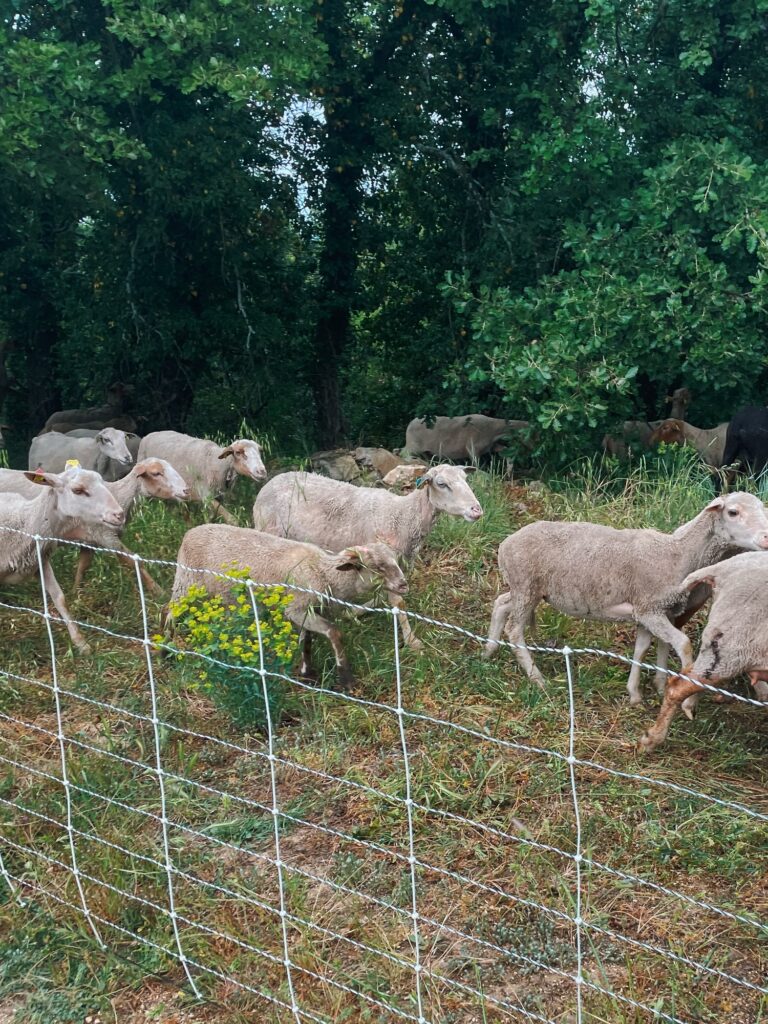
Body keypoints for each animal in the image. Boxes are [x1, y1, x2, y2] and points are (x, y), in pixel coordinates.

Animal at [0, 466, 124, 651]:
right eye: (78, 490)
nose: (119, 515)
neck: (24, 523)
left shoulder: (41, 562)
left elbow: (60, 598)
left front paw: (81, 642)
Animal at [137, 431, 266, 523]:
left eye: (259, 452)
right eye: (238, 452)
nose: (262, 472)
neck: (217, 463)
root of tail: (150, 434)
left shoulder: (219, 497)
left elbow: (211, 517)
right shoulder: (206, 495)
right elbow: (232, 519)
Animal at [169, 527, 408, 688]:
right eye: (377, 566)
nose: (404, 584)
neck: (322, 572)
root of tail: (189, 533)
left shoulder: (308, 610)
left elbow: (306, 639)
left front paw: (306, 672)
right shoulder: (296, 608)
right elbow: (333, 632)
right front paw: (346, 678)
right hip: (186, 581)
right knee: (168, 612)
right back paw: (166, 651)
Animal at [253, 465, 483, 648]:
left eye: (465, 479)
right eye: (442, 484)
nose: (477, 510)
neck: (403, 515)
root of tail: (271, 482)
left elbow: (381, 596)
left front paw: (353, 612)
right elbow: (399, 604)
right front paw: (412, 641)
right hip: (270, 532)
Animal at [483, 493, 768, 699]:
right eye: (733, 512)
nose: (766, 538)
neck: (678, 553)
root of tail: (505, 544)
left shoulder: (654, 610)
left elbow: (647, 648)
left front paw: (644, 690)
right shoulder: (649, 609)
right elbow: (682, 643)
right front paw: (686, 693)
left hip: (526, 589)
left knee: (501, 604)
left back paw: (489, 650)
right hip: (526, 585)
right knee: (514, 628)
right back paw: (536, 677)